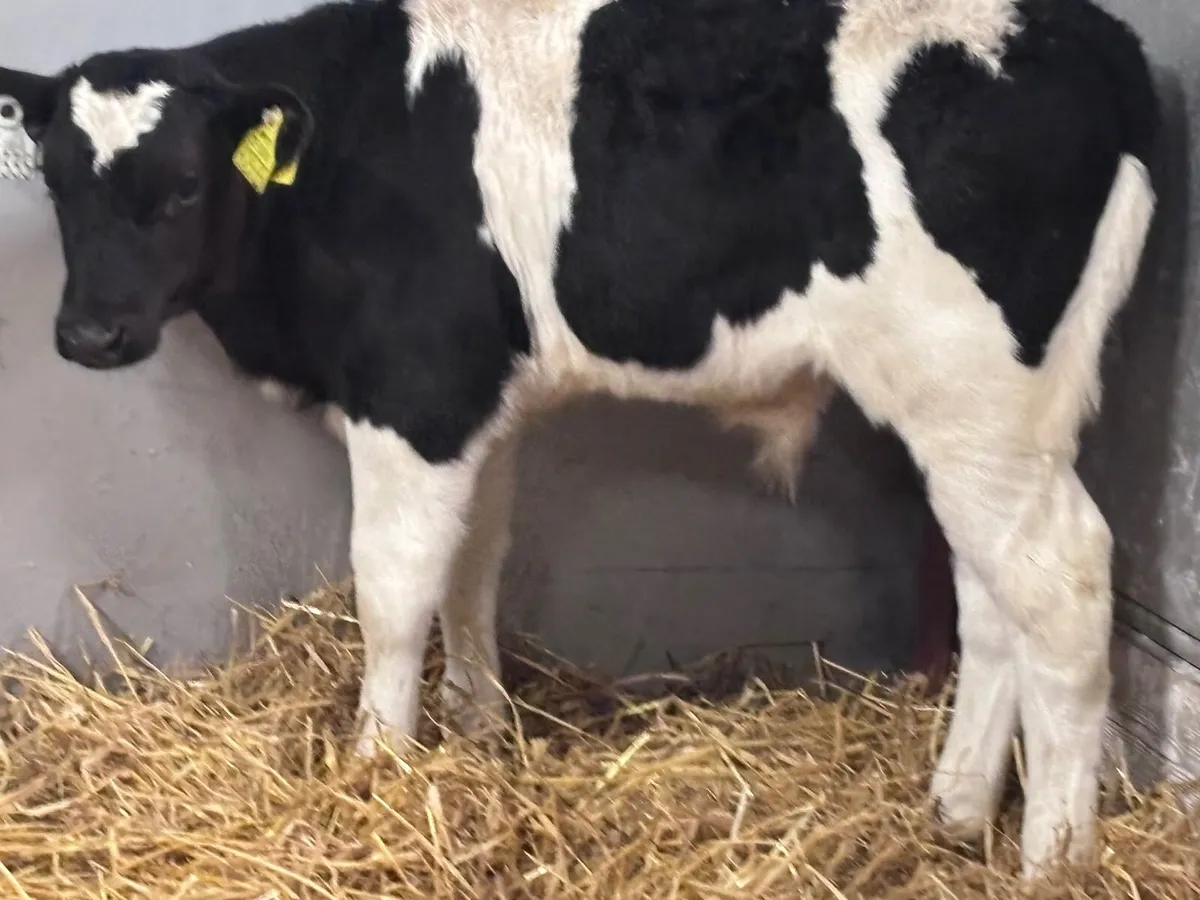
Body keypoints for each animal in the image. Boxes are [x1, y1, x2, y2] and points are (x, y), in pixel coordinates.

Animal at [0, 0, 1159, 878]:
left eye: (185, 186)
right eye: (55, 179)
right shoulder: (481, 403)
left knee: (1063, 583)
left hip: (975, 394)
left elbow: (393, 588)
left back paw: (1054, 857)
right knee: (992, 598)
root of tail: (1093, 35)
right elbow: (473, 566)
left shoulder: (415, 394)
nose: (90, 334)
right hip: (981, 420)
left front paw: (379, 765)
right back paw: (954, 810)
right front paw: (475, 728)